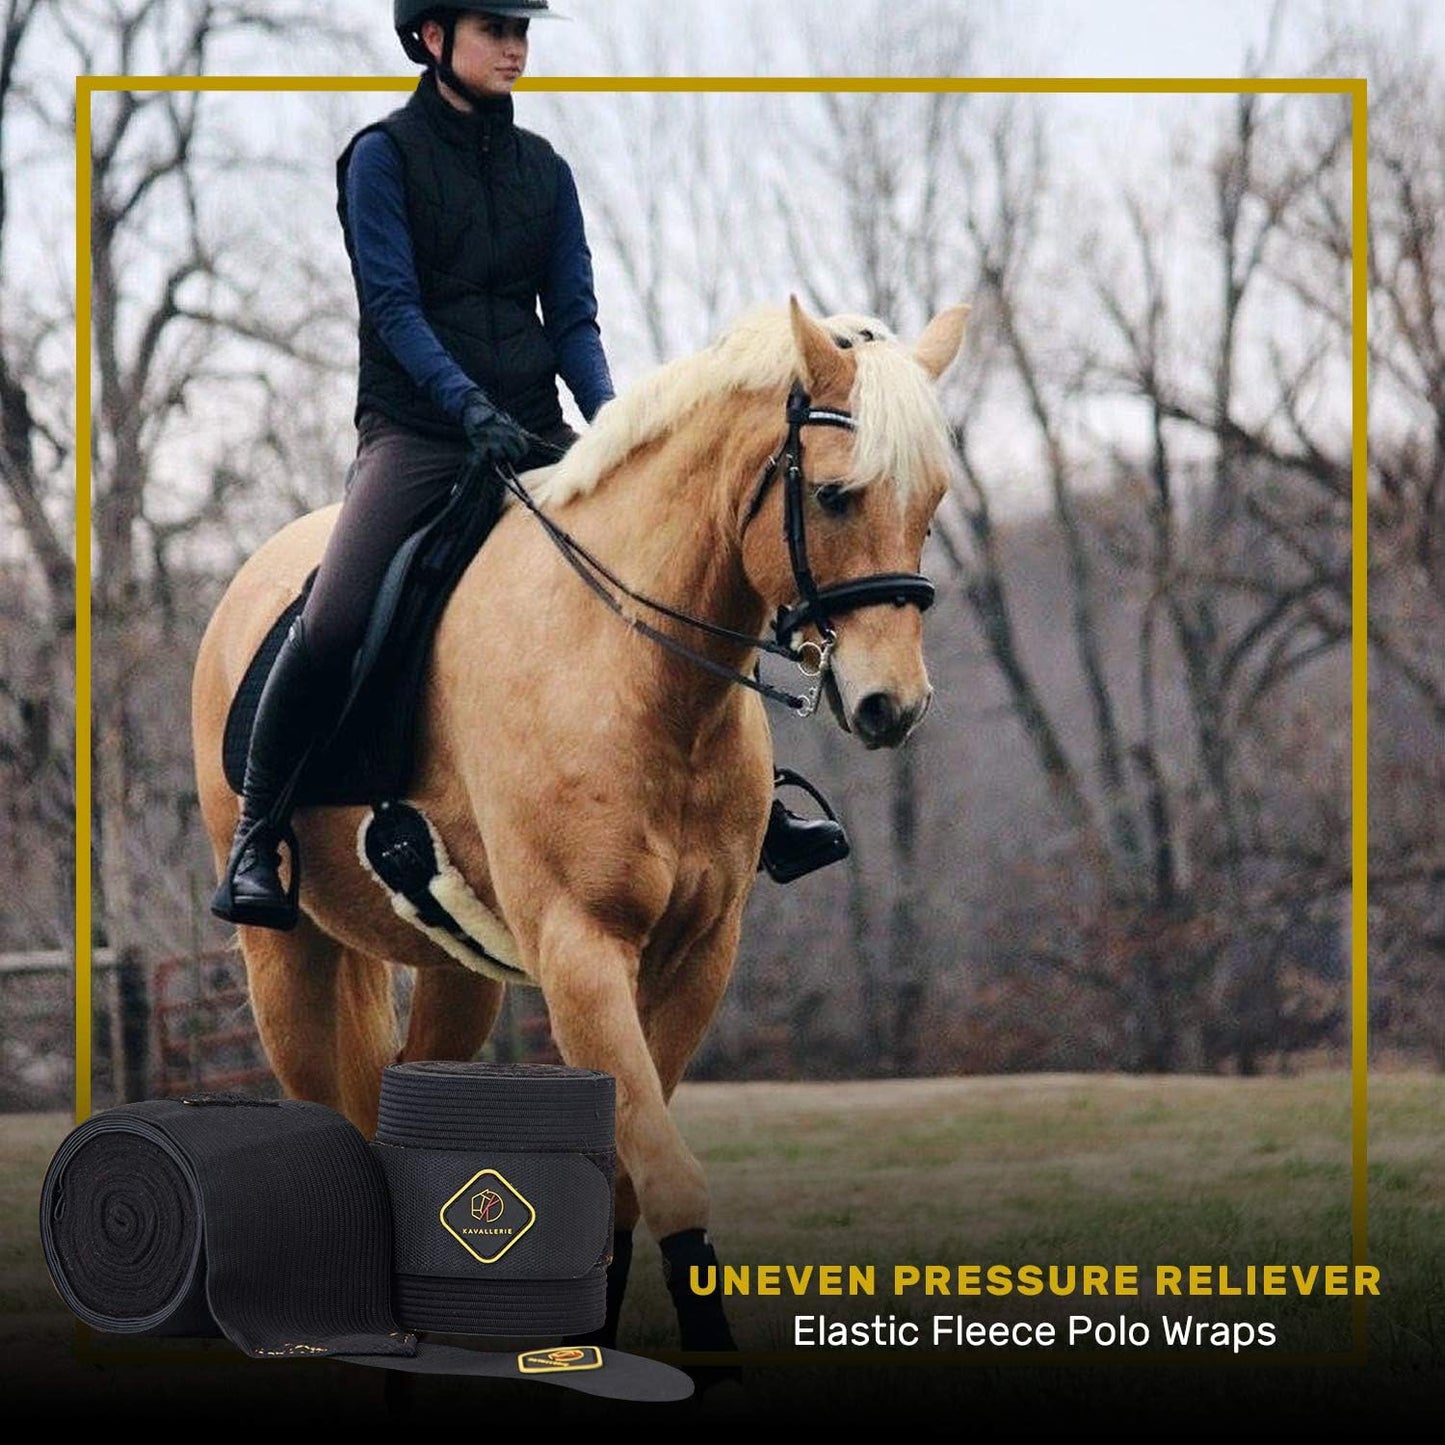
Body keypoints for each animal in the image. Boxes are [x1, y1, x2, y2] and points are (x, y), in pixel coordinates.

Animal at [190, 296, 967, 1358]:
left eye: (929, 499)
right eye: (837, 496)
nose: (895, 706)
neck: (636, 671)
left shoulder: (696, 956)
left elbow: (630, 1180)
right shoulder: (580, 950)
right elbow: (666, 1172)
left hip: (457, 972)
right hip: (287, 962)